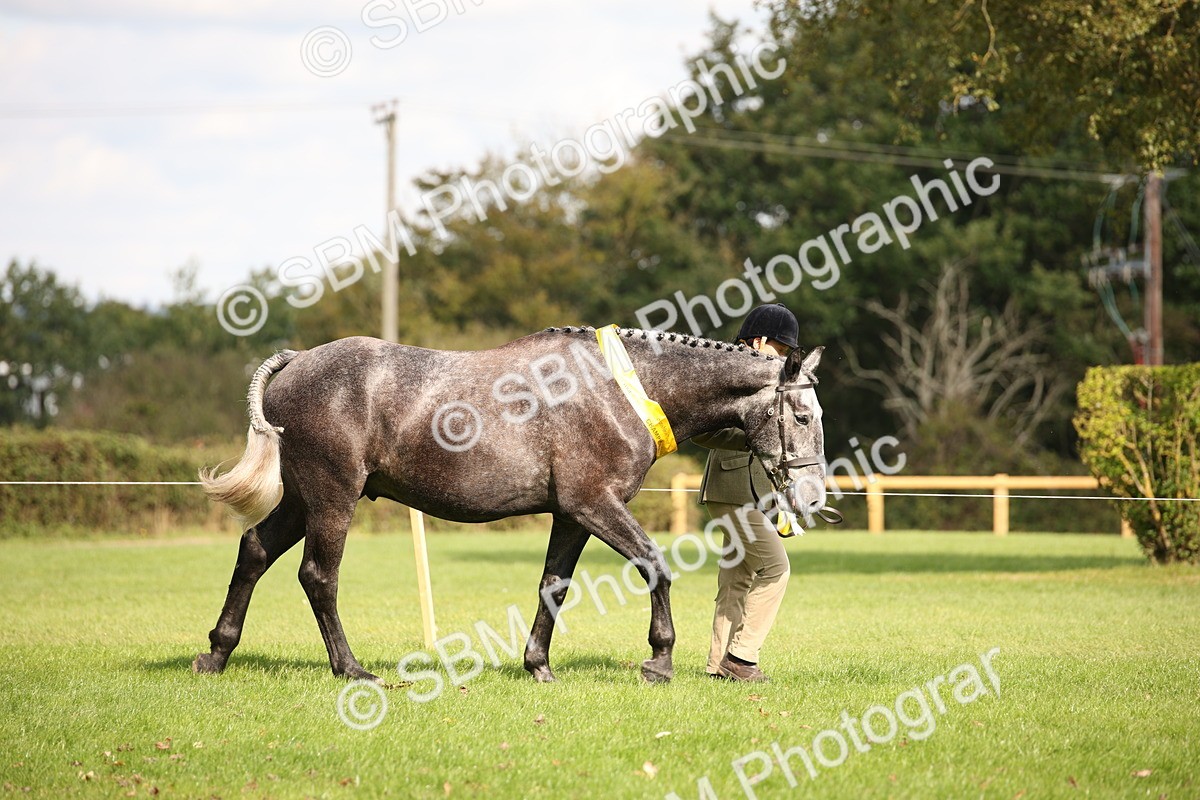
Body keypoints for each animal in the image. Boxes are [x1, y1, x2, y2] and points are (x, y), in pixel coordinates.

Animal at [194, 325, 828, 684]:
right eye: (802, 417)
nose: (814, 497)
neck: (622, 389)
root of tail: (298, 361)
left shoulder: (571, 515)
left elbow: (554, 585)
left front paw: (538, 665)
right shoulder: (595, 504)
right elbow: (656, 565)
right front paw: (659, 661)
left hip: (301, 500)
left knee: (254, 552)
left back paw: (216, 654)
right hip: (331, 497)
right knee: (318, 576)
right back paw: (350, 669)